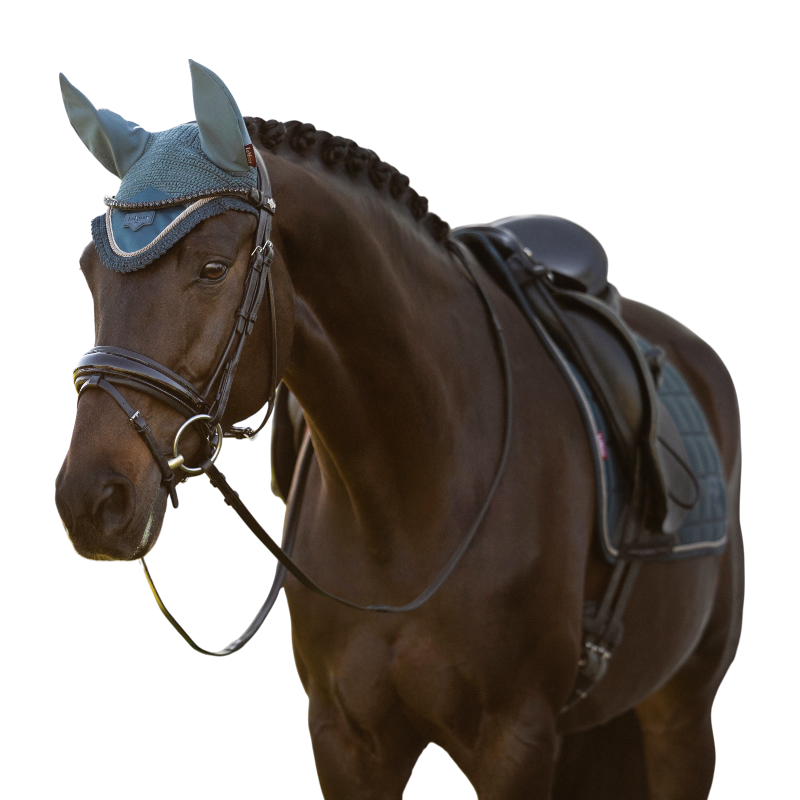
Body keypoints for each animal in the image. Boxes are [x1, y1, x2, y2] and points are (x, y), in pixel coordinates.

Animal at [55, 83, 743, 797]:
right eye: (89, 272)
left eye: (213, 269)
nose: (91, 498)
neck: (411, 494)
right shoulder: (348, 741)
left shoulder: (517, 741)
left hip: (679, 718)